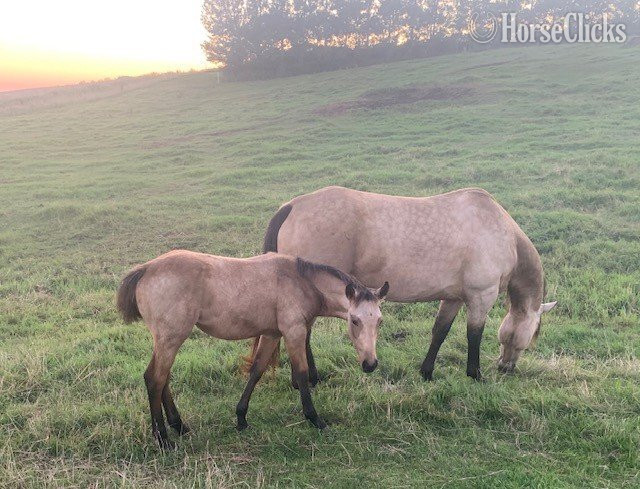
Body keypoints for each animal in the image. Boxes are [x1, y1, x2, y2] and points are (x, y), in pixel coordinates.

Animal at [116, 249, 388, 449]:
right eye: (355, 320)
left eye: (380, 321)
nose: (370, 364)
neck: (301, 281)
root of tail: (145, 269)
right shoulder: (294, 332)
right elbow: (301, 375)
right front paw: (315, 419)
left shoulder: (271, 334)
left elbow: (257, 371)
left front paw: (241, 418)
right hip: (171, 337)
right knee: (155, 379)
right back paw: (163, 439)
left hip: (166, 340)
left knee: (162, 379)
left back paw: (178, 426)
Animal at [252, 186, 556, 382]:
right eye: (532, 335)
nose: (506, 368)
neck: (502, 233)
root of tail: (292, 206)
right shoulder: (481, 297)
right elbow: (474, 335)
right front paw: (475, 374)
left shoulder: (454, 297)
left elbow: (440, 331)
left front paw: (427, 372)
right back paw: (310, 378)